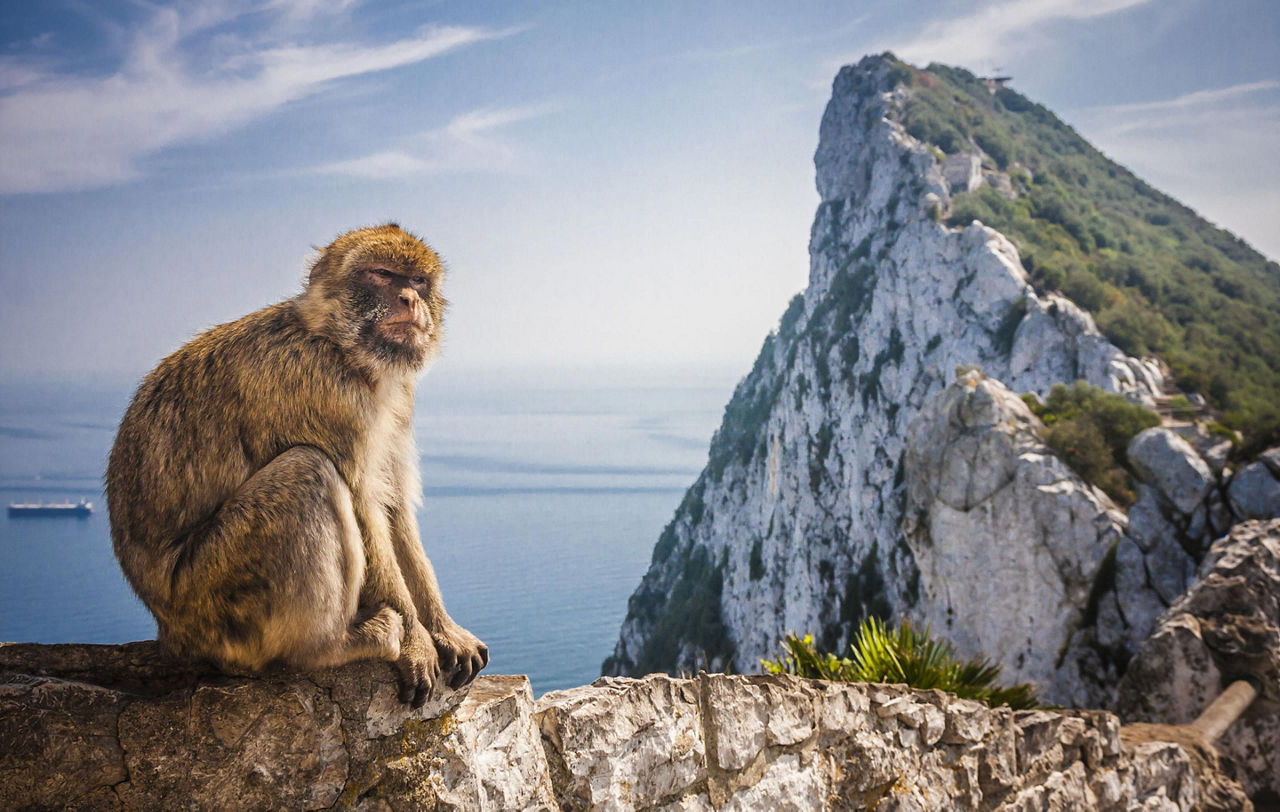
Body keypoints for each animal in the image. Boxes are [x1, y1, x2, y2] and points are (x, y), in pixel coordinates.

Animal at [103, 221, 483, 701]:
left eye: (417, 281)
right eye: (381, 273)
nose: (410, 300)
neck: (338, 346)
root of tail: (169, 632)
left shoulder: (396, 401)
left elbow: (394, 506)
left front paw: (445, 630)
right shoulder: (325, 389)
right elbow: (363, 505)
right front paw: (417, 643)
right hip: (212, 599)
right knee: (308, 471)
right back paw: (332, 646)